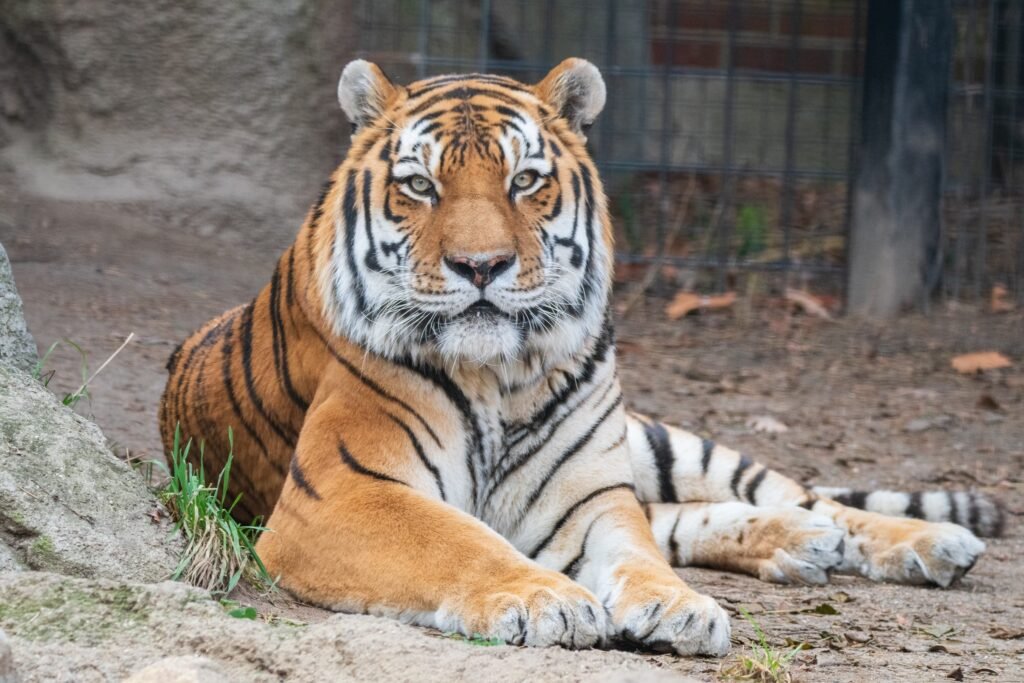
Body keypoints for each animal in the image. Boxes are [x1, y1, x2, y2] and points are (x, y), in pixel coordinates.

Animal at [159, 58, 1004, 656]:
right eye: (421, 185)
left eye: (525, 180)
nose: (481, 266)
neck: (500, 375)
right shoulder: (342, 491)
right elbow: (458, 539)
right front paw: (547, 598)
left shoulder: (592, 496)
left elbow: (641, 551)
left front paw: (678, 606)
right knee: (689, 513)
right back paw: (801, 546)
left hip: (661, 442)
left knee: (791, 497)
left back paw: (922, 542)